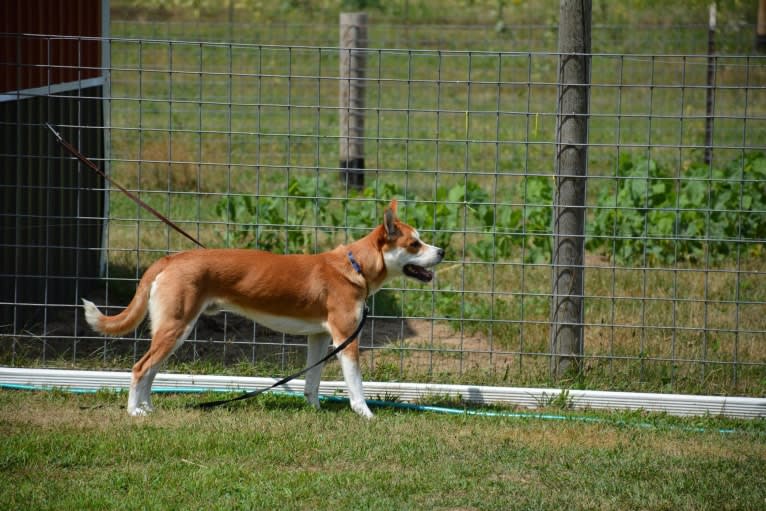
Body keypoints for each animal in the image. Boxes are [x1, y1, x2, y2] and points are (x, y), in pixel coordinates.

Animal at [82, 198, 444, 418]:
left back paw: (148, 407)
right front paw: (366, 414)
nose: (441, 252)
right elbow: (356, 384)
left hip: (171, 330)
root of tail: (171, 259)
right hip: (176, 327)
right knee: (140, 368)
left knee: (150, 371)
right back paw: (134, 411)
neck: (353, 266)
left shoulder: (320, 338)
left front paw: (314, 409)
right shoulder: (346, 338)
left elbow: (312, 381)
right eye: (415, 244)